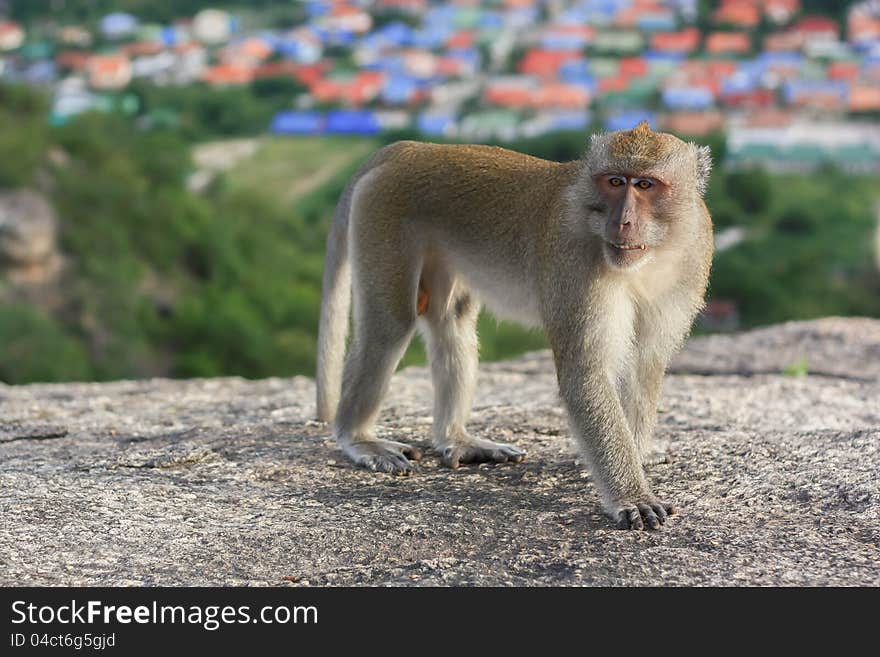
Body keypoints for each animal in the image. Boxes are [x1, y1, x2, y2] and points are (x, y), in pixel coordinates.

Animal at [312, 123, 712, 532]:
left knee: (450, 318)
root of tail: (410, 149)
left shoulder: (694, 253)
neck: (651, 256)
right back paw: (358, 438)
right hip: (382, 216)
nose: (623, 222)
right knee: (390, 323)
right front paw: (632, 494)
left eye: (645, 185)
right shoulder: (573, 260)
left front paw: (639, 452)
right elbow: (585, 373)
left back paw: (456, 439)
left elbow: (645, 363)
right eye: (615, 181)